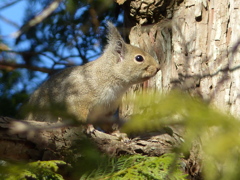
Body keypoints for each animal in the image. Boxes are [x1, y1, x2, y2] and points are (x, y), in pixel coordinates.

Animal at [23, 22, 160, 132]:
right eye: (139, 58)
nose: (158, 67)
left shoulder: (106, 111)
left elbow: (106, 124)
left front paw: (116, 133)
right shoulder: (78, 98)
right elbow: (79, 115)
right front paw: (86, 126)